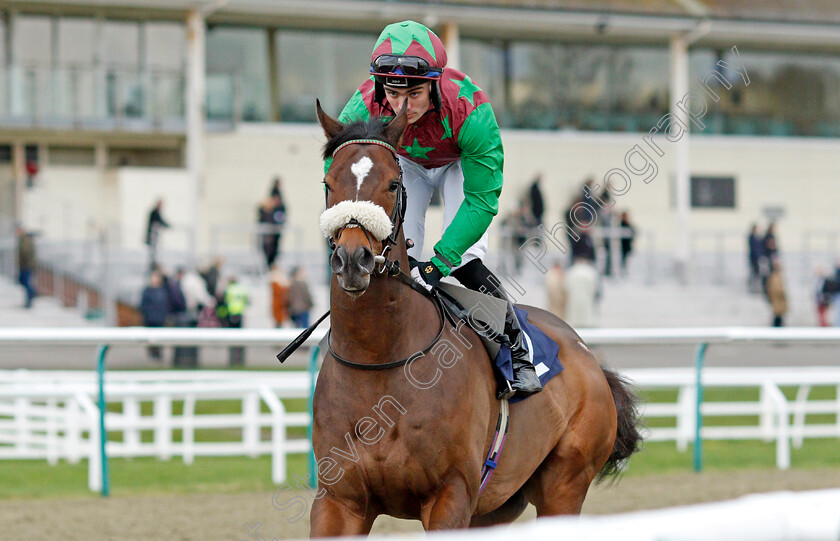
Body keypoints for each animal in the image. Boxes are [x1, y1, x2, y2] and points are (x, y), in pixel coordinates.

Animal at [308, 102, 644, 536]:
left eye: (393, 185)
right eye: (329, 182)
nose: (352, 260)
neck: (378, 363)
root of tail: (587, 353)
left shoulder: (451, 494)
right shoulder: (339, 500)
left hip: (564, 483)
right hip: (495, 505)